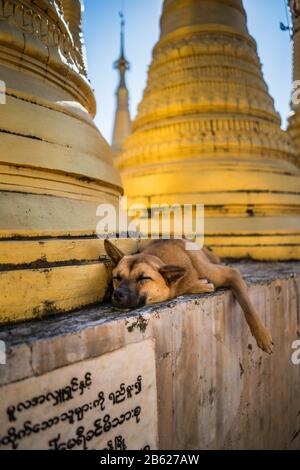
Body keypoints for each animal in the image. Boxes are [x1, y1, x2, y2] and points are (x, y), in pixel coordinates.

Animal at [104, 239, 274, 352]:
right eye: (117, 277)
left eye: (143, 278)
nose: (117, 294)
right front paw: (200, 285)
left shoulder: (232, 274)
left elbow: (247, 305)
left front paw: (262, 335)